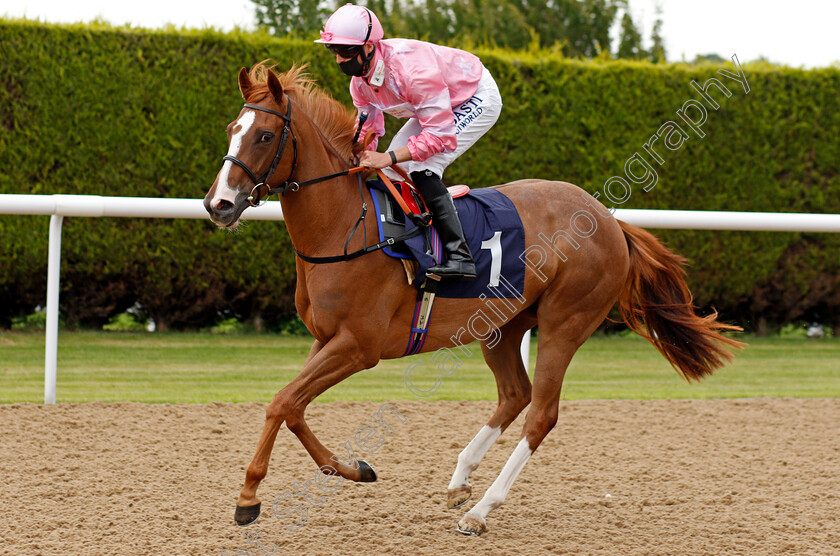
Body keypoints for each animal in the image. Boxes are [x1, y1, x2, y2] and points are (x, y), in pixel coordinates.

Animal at [205, 63, 740, 536]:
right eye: (231, 129)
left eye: (265, 136)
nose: (218, 205)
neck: (344, 227)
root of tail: (607, 218)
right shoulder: (326, 339)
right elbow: (293, 406)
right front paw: (352, 468)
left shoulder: (359, 346)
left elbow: (281, 402)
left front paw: (248, 498)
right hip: (502, 324)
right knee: (515, 394)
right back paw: (460, 480)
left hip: (566, 321)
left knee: (541, 413)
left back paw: (482, 510)